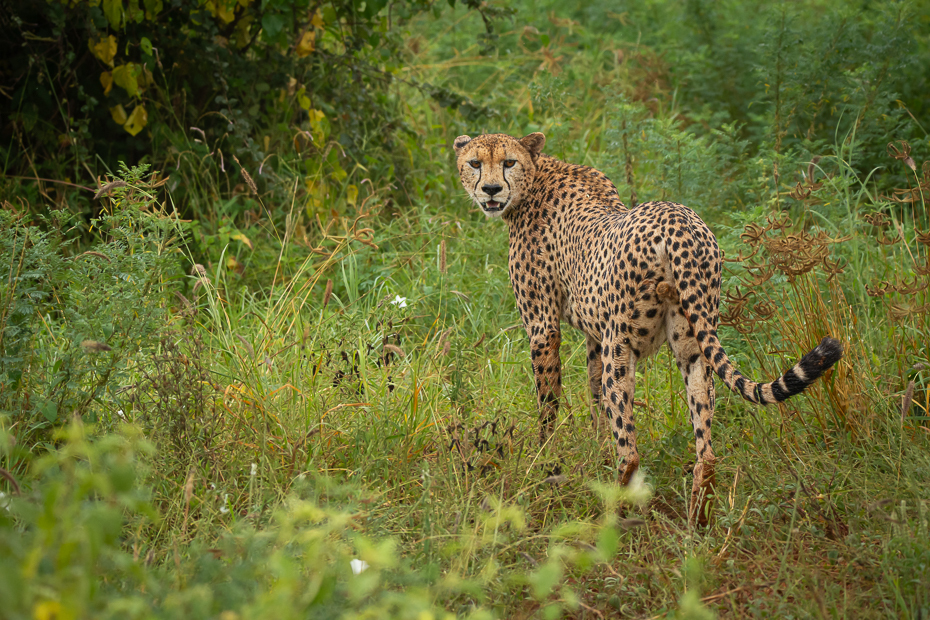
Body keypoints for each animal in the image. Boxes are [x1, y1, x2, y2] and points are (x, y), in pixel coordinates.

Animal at [454, 131, 844, 524]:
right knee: (706, 451)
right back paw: (696, 524)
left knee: (630, 453)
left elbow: (549, 403)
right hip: (693, 345)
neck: (536, 177)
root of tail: (678, 220)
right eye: (475, 162)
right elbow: (594, 398)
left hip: (621, 348)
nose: (490, 189)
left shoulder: (544, 326)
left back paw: (611, 516)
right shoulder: (594, 335)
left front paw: (544, 461)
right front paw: (593, 451)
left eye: (508, 162)